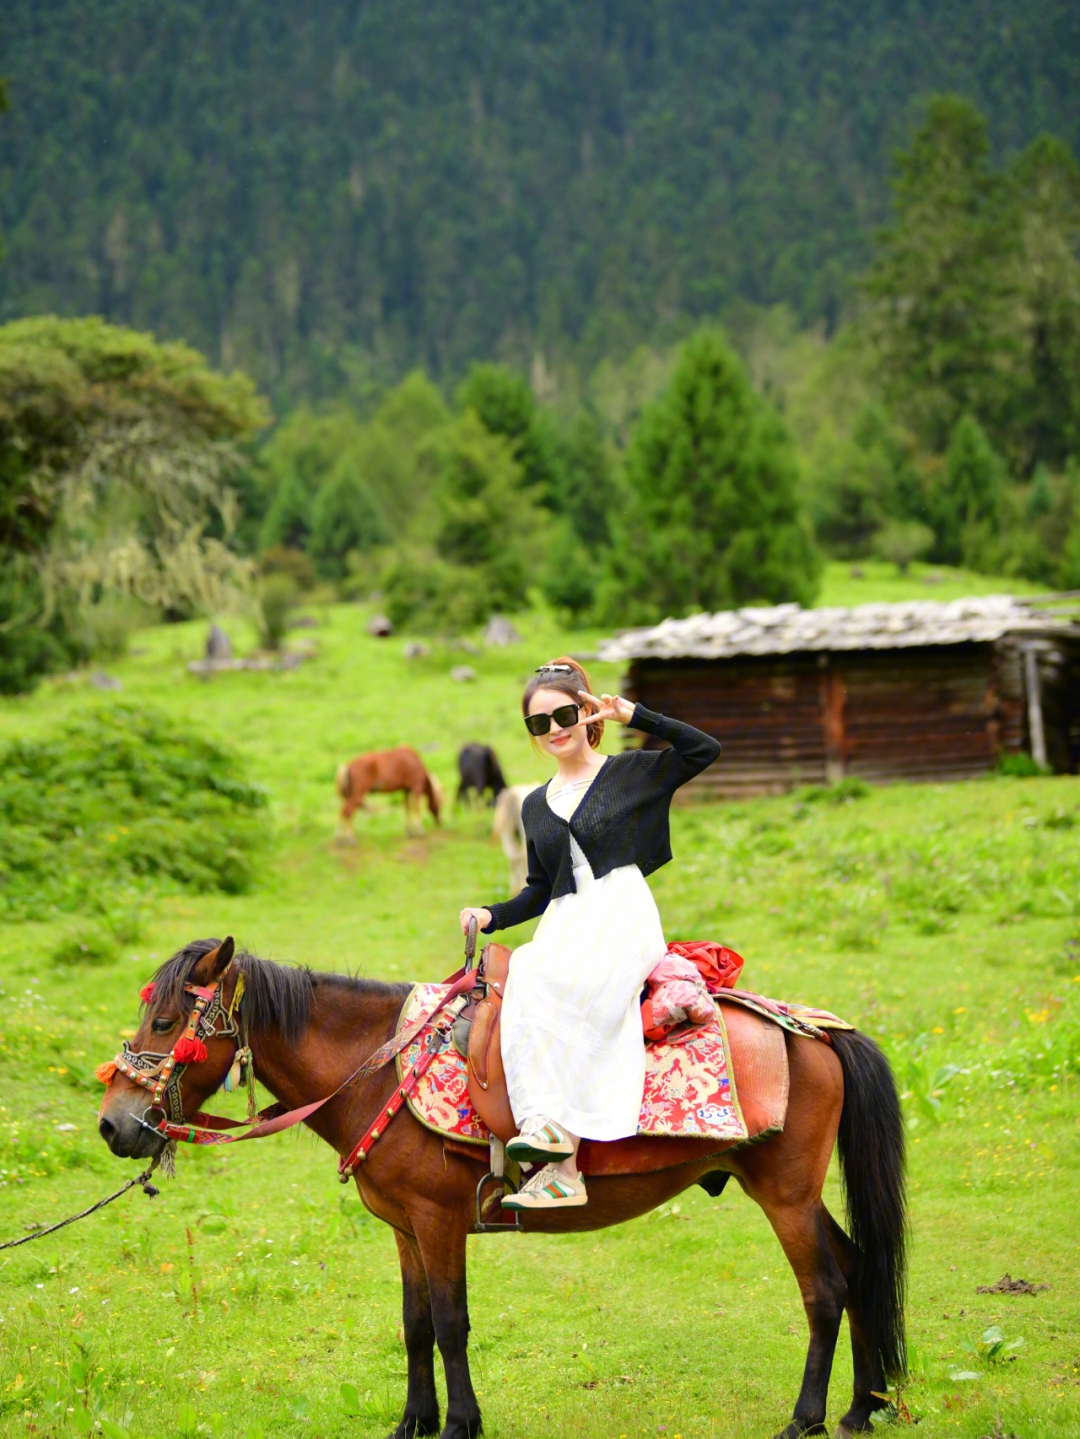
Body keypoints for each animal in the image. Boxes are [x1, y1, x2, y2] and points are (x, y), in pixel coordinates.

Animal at [97, 932, 908, 1439]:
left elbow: (452, 1323)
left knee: (825, 1288)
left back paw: (806, 1416)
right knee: (859, 1267)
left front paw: (460, 1423)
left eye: (166, 1021)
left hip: (785, 1196)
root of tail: (814, 1030)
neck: (380, 1068)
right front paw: (413, 1421)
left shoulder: (438, 1220)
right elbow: (416, 1324)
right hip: (798, 1195)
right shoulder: (404, 1228)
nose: (113, 1124)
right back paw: (863, 1407)